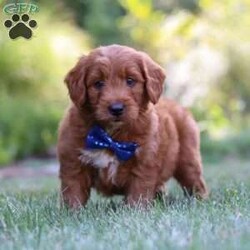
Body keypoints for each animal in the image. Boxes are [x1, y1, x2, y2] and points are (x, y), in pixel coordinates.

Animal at [57, 44, 208, 208]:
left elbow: (138, 193)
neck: (111, 136)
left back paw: (200, 201)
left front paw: (136, 210)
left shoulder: (144, 163)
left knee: (195, 181)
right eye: (98, 83)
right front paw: (72, 212)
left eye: (130, 81)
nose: (116, 109)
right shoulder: (73, 162)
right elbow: (74, 192)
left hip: (187, 158)